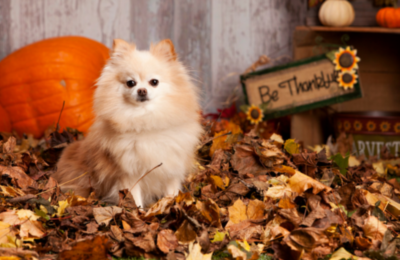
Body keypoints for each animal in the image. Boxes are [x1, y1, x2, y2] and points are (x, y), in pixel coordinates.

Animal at [52, 38, 203, 207]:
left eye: (154, 82)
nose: (142, 90)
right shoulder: (128, 174)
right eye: (131, 83)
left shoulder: (171, 167)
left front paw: (173, 204)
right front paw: (139, 211)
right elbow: (134, 197)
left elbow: (172, 191)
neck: (145, 120)